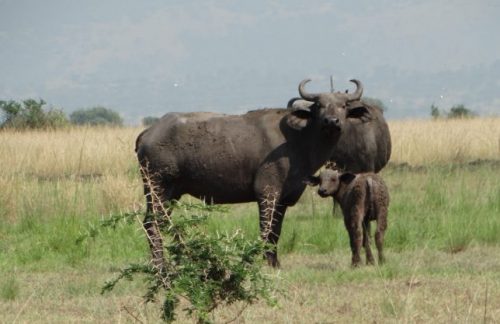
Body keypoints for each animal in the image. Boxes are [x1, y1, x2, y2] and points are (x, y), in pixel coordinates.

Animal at [138, 78, 368, 268]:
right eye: (319, 105)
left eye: (343, 105)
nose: (332, 121)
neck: (298, 140)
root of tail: (148, 133)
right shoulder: (267, 193)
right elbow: (265, 229)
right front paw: (264, 262)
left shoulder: (283, 199)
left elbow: (276, 232)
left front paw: (275, 262)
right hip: (157, 189)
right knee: (152, 224)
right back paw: (160, 265)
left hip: (171, 194)